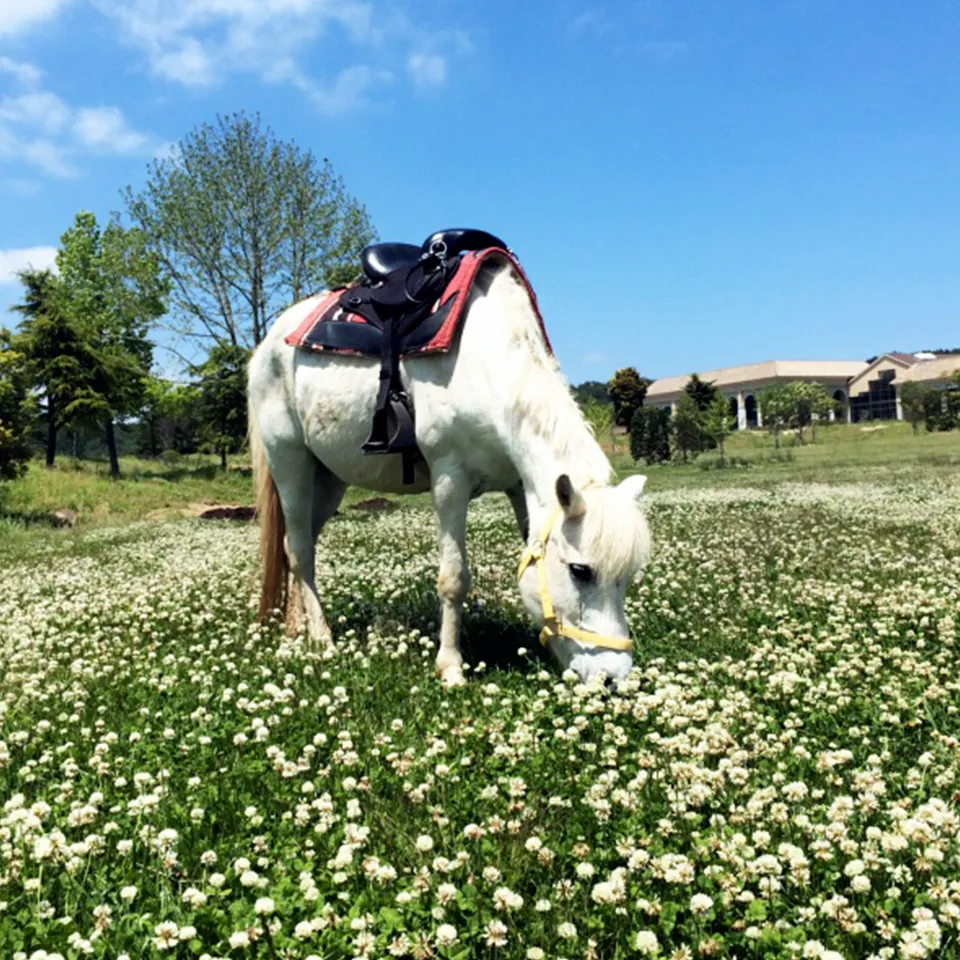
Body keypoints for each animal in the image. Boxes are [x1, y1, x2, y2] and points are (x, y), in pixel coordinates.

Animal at [248, 258, 652, 688]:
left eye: (628, 575)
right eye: (580, 571)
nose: (613, 678)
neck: (486, 360)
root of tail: (267, 346)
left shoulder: (518, 486)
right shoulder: (449, 481)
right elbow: (453, 578)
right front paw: (451, 666)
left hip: (328, 477)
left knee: (296, 544)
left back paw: (296, 628)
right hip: (289, 461)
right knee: (300, 550)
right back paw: (322, 638)